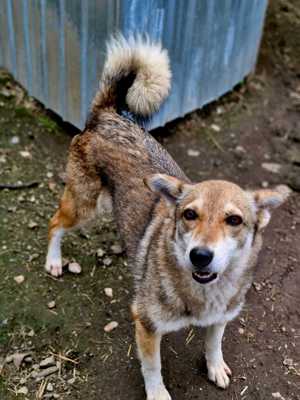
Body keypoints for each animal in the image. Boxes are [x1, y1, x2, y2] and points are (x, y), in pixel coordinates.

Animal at [45, 36, 290, 398]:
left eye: (234, 220)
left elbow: (214, 343)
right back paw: (53, 261)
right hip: (86, 205)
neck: (203, 292)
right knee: (55, 223)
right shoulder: (145, 322)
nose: (200, 256)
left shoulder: (222, 317)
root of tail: (108, 115)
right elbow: (152, 367)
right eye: (189, 214)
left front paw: (215, 367)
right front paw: (158, 393)